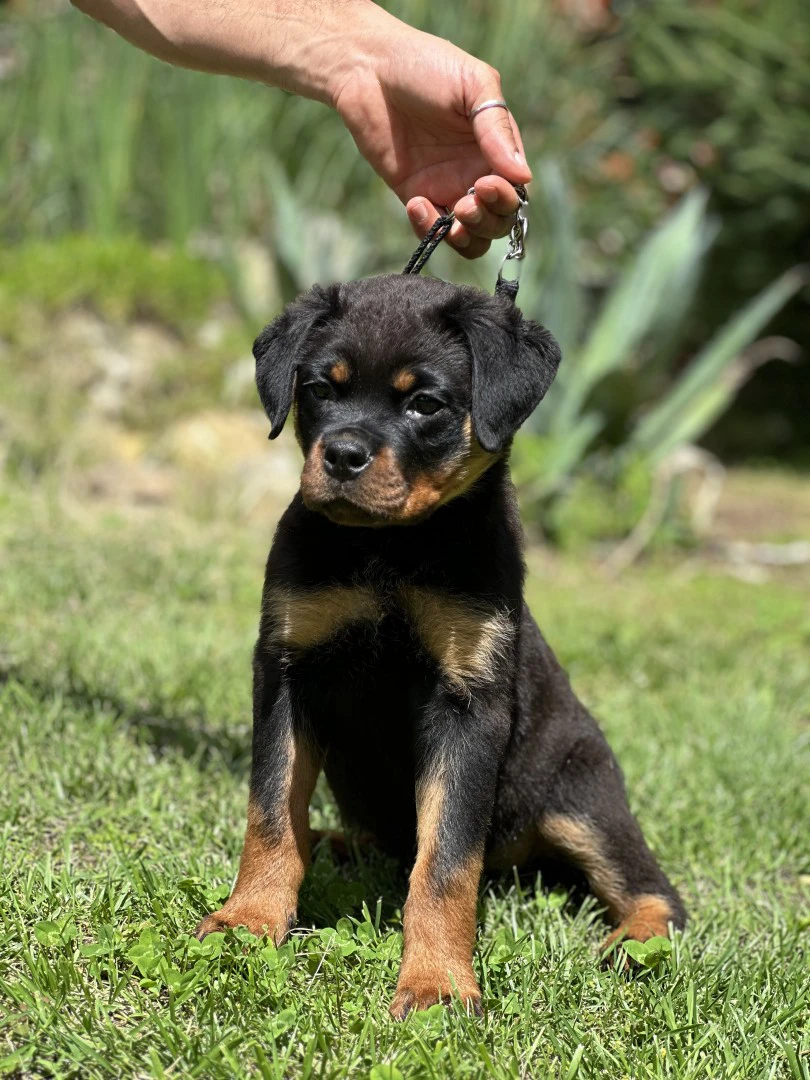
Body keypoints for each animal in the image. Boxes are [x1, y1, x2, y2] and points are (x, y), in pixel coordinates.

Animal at [195, 274, 686, 1015]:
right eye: (320, 388)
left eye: (424, 403)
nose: (341, 455)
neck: (389, 550)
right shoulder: (287, 668)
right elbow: (272, 811)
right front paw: (248, 920)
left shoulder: (467, 700)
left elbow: (448, 859)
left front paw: (436, 984)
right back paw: (331, 844)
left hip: (582, 795)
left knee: (653, 888)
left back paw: (635, 943)